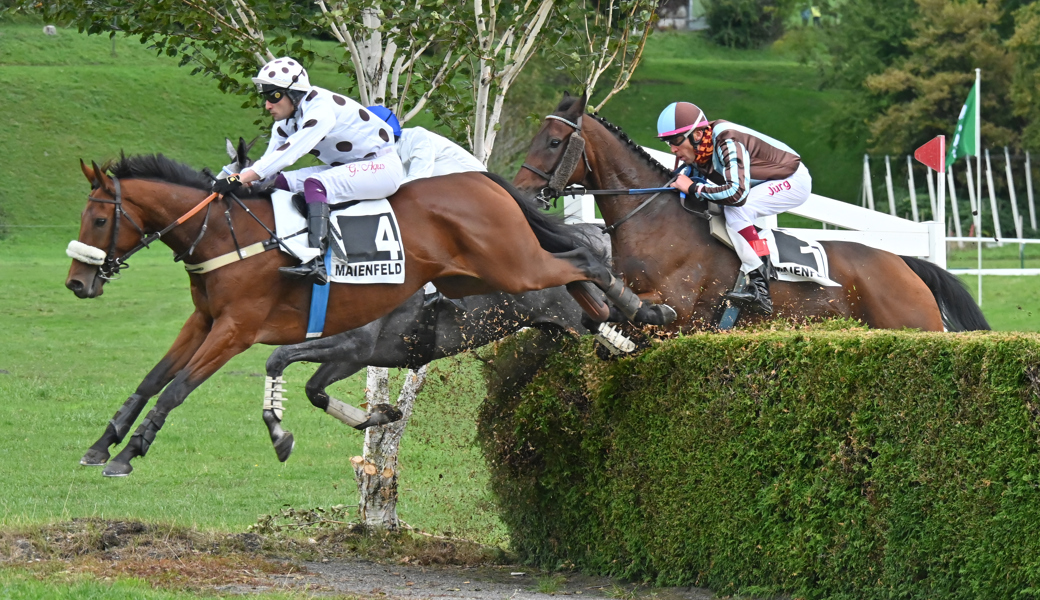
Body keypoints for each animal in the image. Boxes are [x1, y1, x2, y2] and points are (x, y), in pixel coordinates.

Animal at [65, 153, 669, 478]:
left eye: (99, 220)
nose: (77, 283)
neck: (227, 238)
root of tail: (481, 180)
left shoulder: (242, 331)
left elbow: (180, 387)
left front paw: (130, 453)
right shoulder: (207, 322)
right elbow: (155, 378)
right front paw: (102, 444)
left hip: (514, 266)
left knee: (583, 260)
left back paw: (639, 312)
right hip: (487, 276)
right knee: (575, 274)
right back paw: (614, 319)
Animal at [511, 95, 990, 334]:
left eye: (553, 142)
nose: (520, 192)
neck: (651, 221)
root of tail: (903, 263)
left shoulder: (678, 304)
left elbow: (638, 311)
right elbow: (600, 311)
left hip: (916, 324)